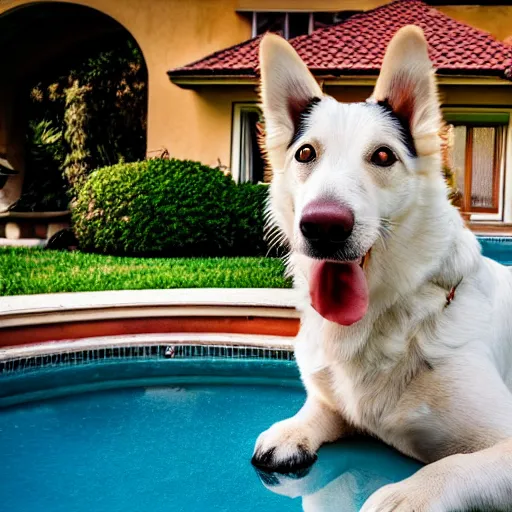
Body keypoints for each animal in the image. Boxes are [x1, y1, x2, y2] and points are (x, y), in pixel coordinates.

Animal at [253, 26, 512, 510]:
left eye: (384, 157)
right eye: (305, 154)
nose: (323, 227)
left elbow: (452, 465)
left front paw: (410, 493)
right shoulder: (336, 402)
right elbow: (320, 405)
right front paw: (294, 428)